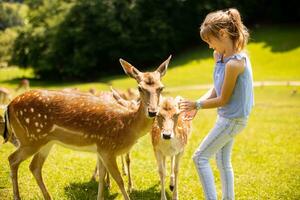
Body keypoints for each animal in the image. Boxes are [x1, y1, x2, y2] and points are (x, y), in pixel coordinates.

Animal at [0, 55, 171, 200]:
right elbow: (118, 180)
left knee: (34, 166)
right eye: (139, 88)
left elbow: (101, 178)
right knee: (12, 159)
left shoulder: (101, 149)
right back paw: (17, 196)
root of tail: (9, 106)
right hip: (30, 138)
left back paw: (48, 197)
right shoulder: (108, 148)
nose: (152, 111)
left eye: (161, 88)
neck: (127, 125)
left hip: (45, 141)